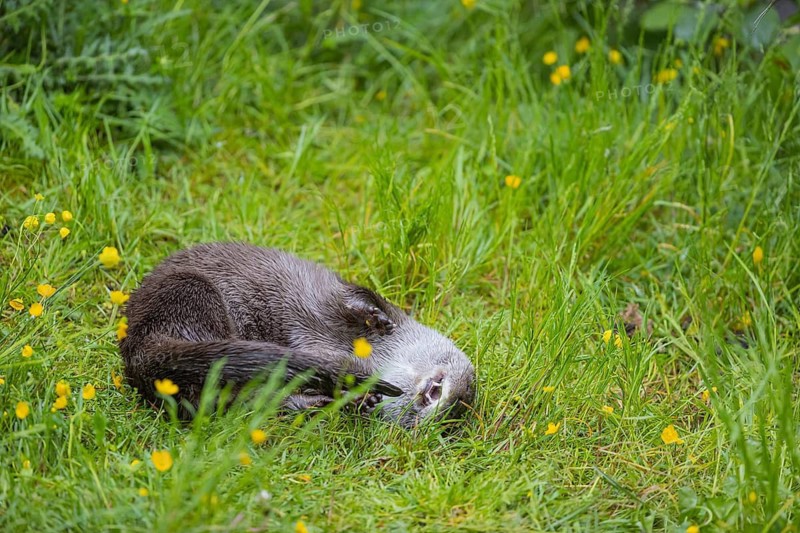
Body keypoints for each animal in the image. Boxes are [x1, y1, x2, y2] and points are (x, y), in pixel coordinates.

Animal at [119, 242, 475, 427]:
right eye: (464, 388)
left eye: (455, 410)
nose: (447, 400)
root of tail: (137, 348)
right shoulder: (333, 293)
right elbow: (356, 298)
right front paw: (377, 319)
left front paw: (360, 400)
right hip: (190, 290)